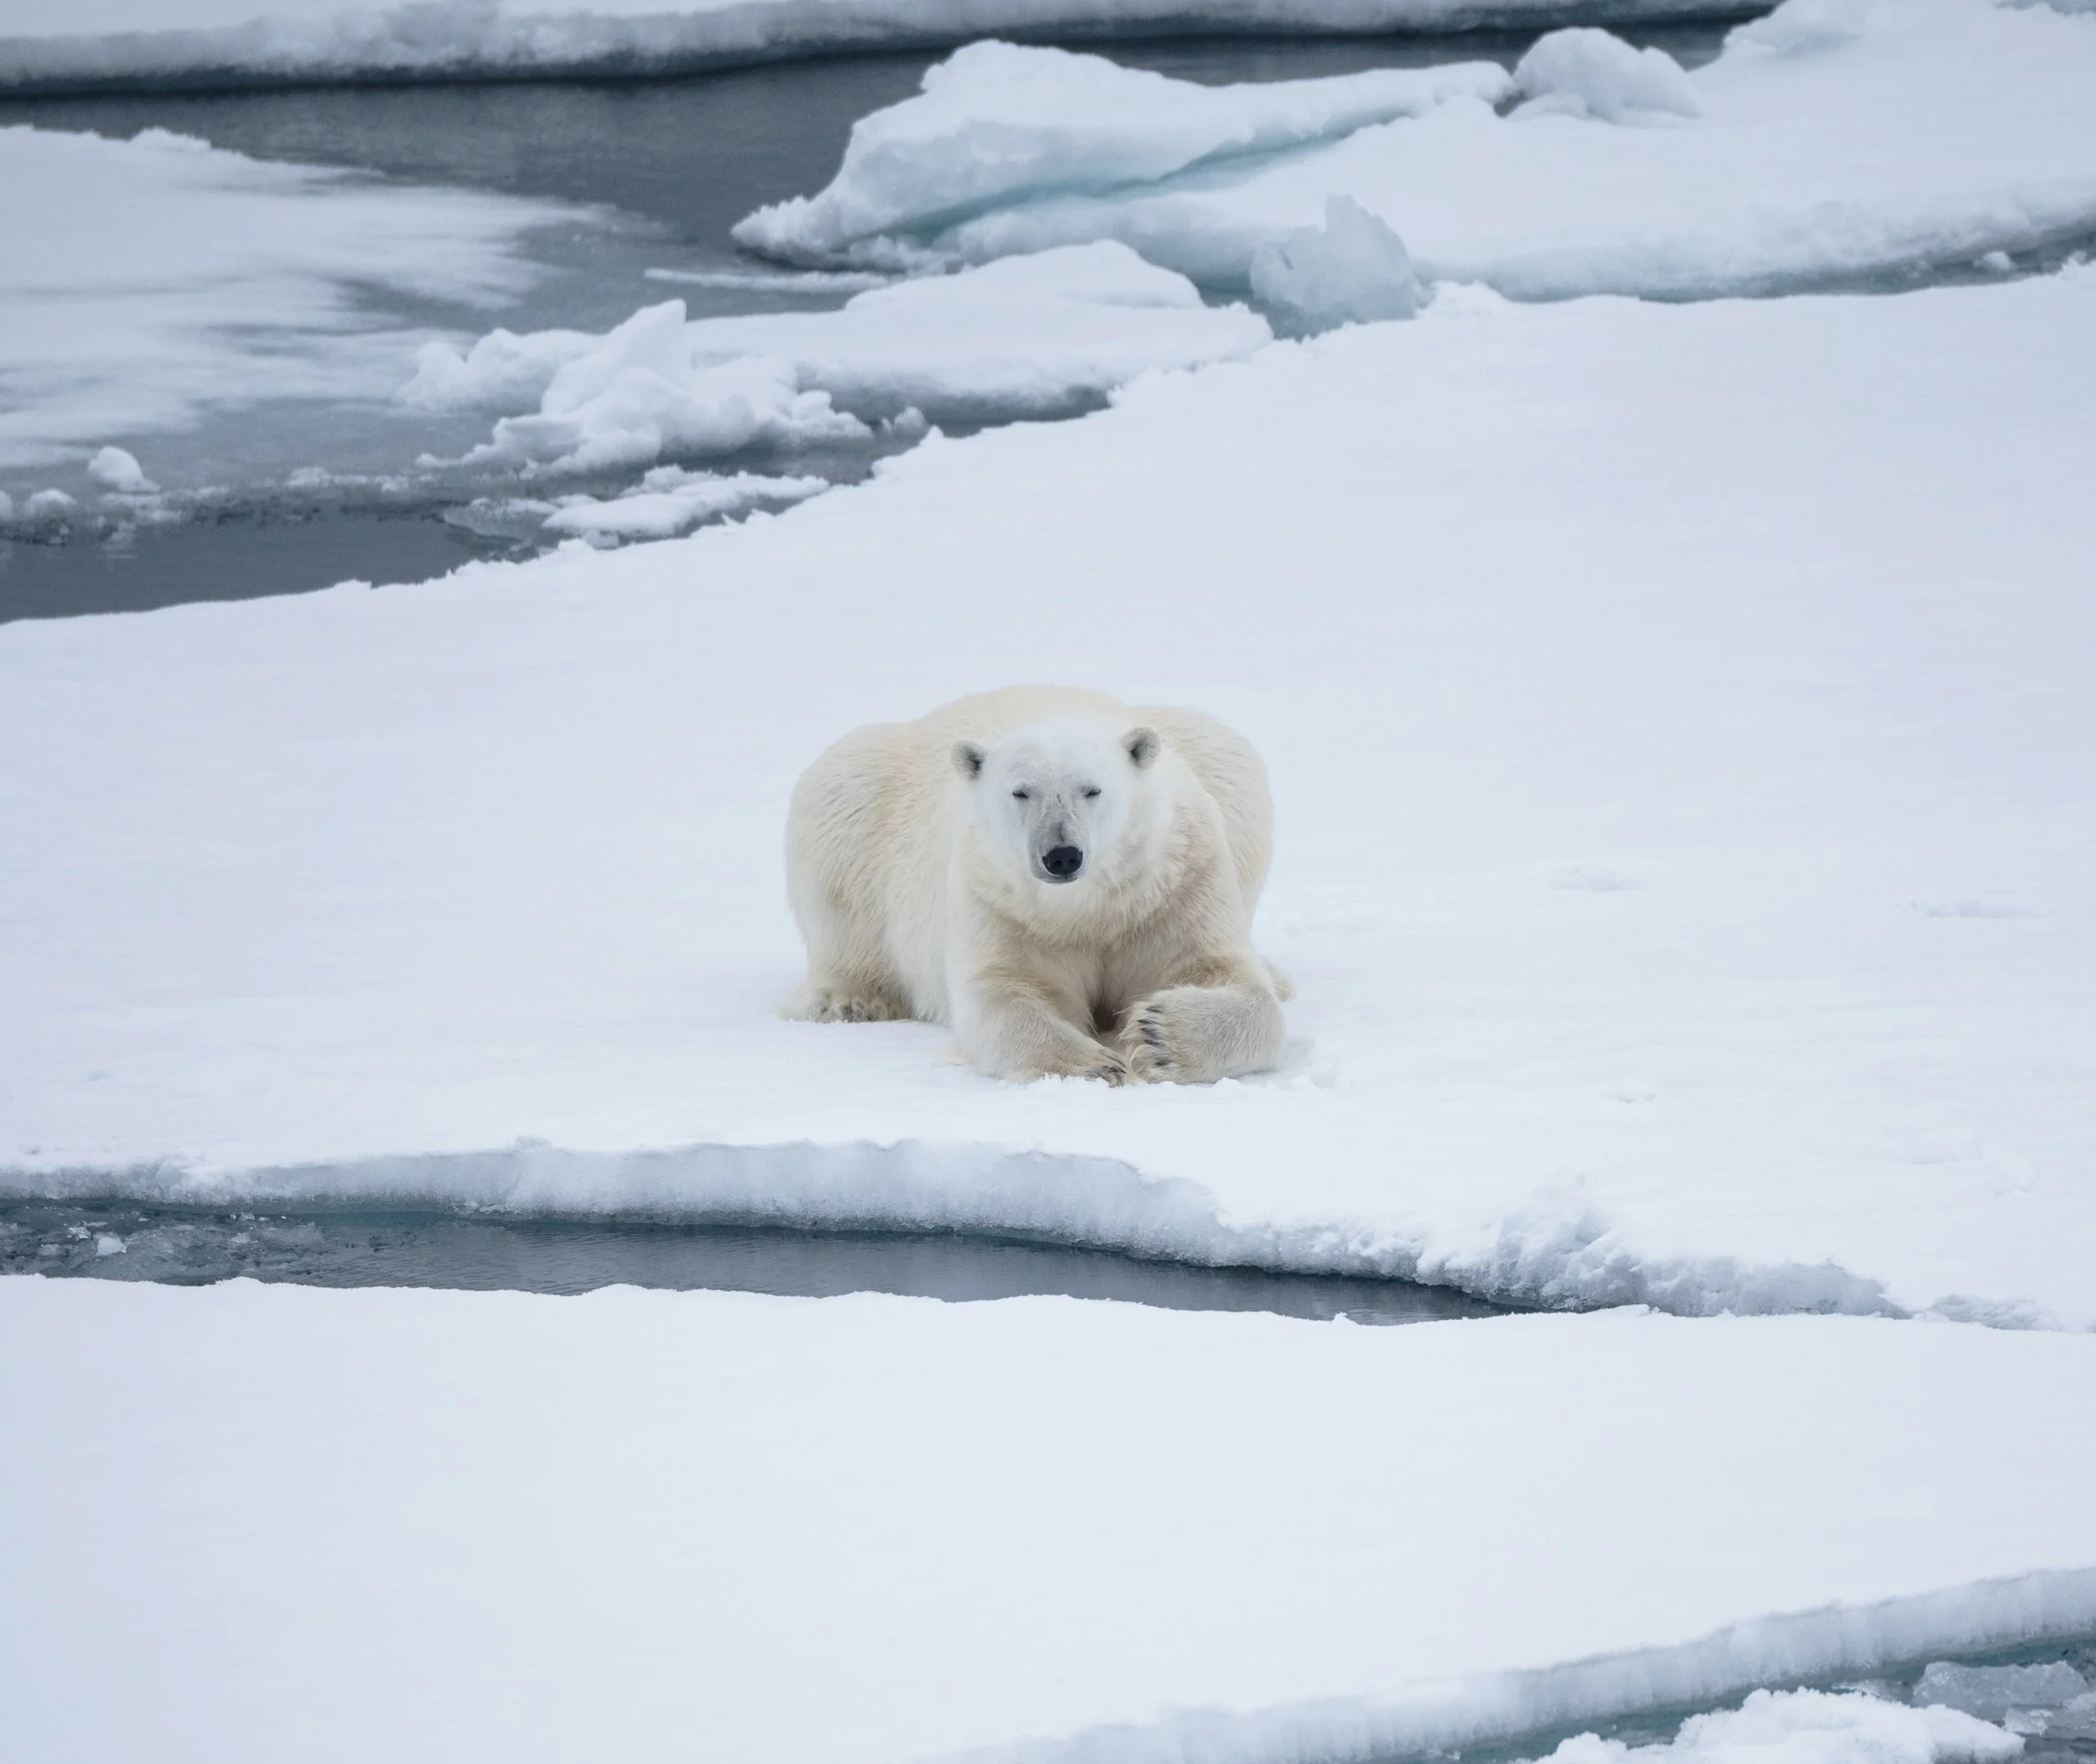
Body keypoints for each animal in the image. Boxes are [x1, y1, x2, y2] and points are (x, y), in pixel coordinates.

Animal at [783, 686, 1289, 1084]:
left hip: (1220, 767)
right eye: (1021, 792)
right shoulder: (1001, 902)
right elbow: (1006, 992)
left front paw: (1157, 1036)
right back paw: (846, 1001)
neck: (1088, 905)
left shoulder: (1173, 886)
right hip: (859, 803)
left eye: (1093, 789)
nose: (1061, 855)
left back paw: (1278, 975)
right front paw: (1095, 1063)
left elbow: (1219, 971)